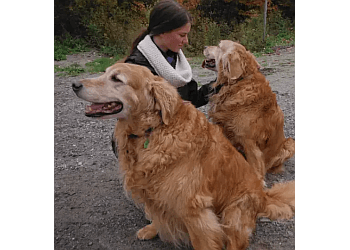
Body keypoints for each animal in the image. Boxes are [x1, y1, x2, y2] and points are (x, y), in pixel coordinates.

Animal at [72, 63, 294, 250]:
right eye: (104, 73)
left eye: (116, 79)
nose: (74, 84)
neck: (152, 130)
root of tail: (264, 196)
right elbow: (158, 214)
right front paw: (153, 228)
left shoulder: (193, 208)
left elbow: (203, 242)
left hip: (234, 213)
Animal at [202, 40, 296, 182]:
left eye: (219, 46)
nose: (204, 46)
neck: (237, 83)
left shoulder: (249, 142)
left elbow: (255, 168)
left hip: (290, 144)